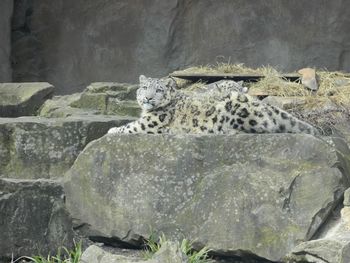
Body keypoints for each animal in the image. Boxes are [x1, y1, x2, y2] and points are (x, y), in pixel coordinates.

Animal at [107, 75, 320, 135]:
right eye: (144, 87)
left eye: (158, 90)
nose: (148, 98)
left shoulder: (152, 122)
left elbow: (132, 126)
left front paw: (112, 130)